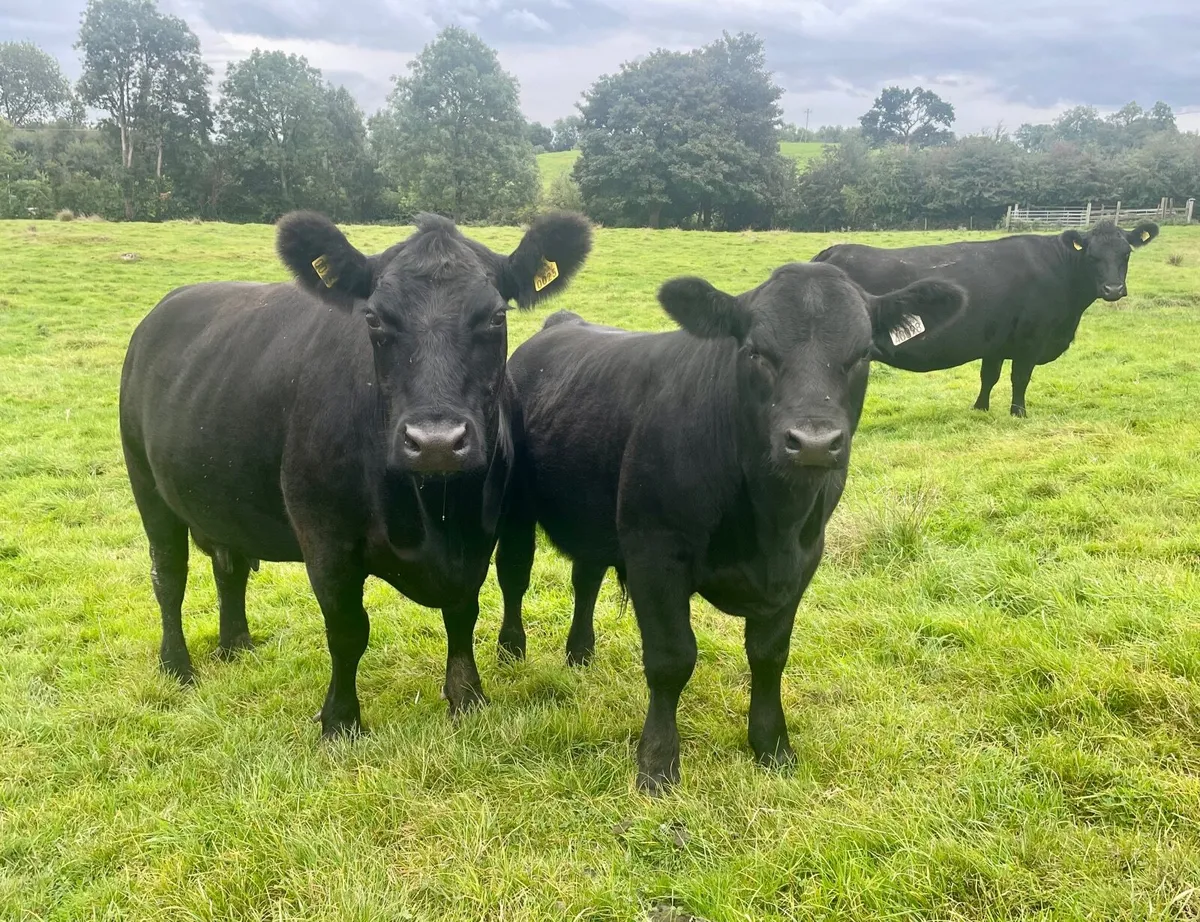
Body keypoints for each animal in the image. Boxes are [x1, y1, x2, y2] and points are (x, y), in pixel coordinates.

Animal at [119, 210, 592, 738]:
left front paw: (466, 695)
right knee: (169, 575)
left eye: (496, 316)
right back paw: (177, 665)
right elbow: (348, 629)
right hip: (146, 484)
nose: (435, 441)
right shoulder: (325, 539)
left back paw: (236, 644)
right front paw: (340, 719)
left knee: (229, 567)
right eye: (374, 318)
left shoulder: (479, 534)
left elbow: (463, 612)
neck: (434, 513)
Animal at [493, 261, 966, 792]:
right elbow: (672, 659)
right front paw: (657, 765)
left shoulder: (803, 562)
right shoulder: (655, 552)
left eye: (864, 352)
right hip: (516, 508)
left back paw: (580, 654)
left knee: (586, 579)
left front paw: (772, 746)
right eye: (755, 351)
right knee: (514, 576)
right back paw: (511, 650)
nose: (814, 442)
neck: (770, 523)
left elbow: (769, 655)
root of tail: (562, 322)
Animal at [811, 220, 1159, 416]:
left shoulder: (996, 343)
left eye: (1126, 253)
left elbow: (989, 377)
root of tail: (831, 252)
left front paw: (981, 408)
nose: (1113, 289)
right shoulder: (1031, 340)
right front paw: (1019, 413)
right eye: (1092, 255)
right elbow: (1020, 378)